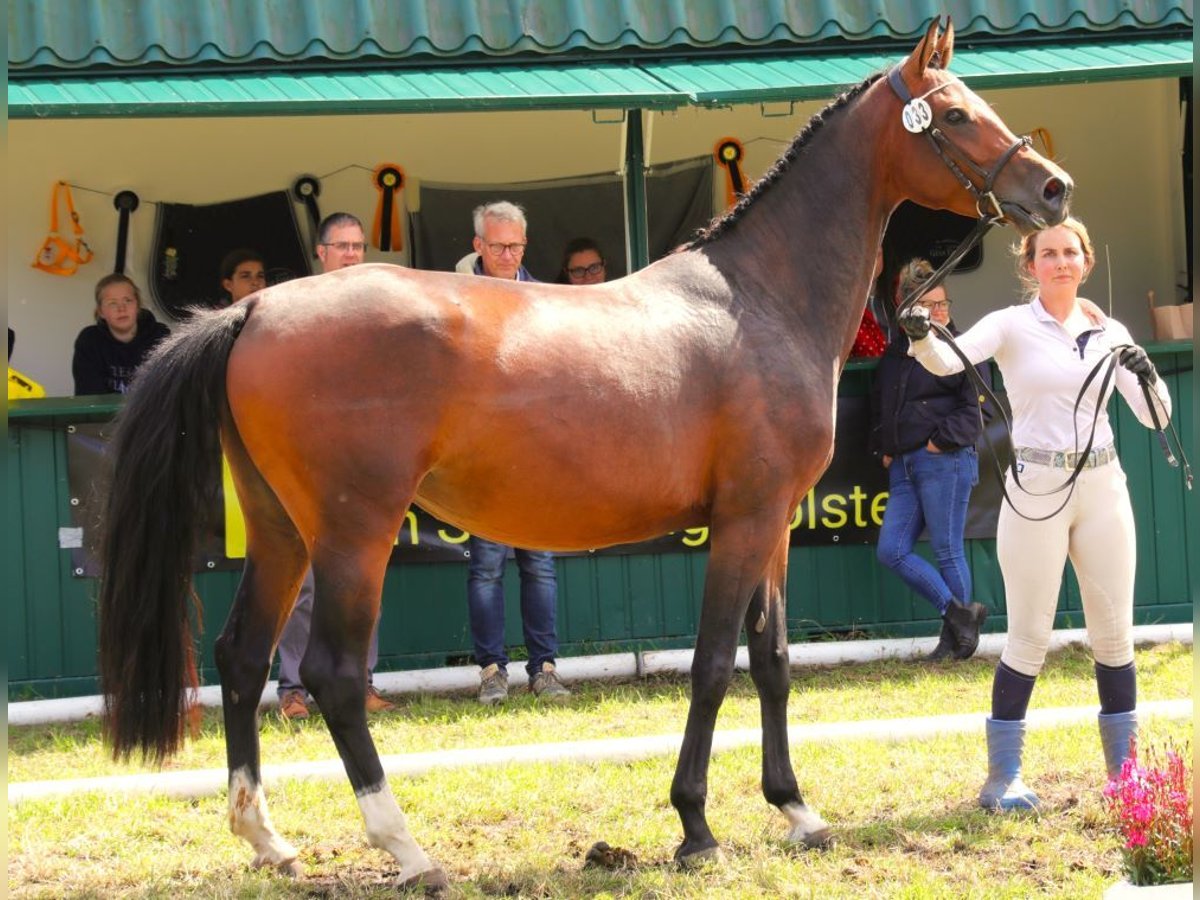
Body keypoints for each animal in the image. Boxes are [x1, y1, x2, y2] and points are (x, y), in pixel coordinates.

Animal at [96, 22, 1070, 897]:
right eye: (955, 113)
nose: (1053, 189)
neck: (759, 299)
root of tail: (254, 309)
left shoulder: (775, 527)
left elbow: (773, 661)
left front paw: (797, 811)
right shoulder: (745, 521)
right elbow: (713, 666)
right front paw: (695, 827)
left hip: (280, 530)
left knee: (241, 656)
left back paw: (268, 840)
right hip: (353, 534)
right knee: (332, 676)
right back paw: (408, 851)